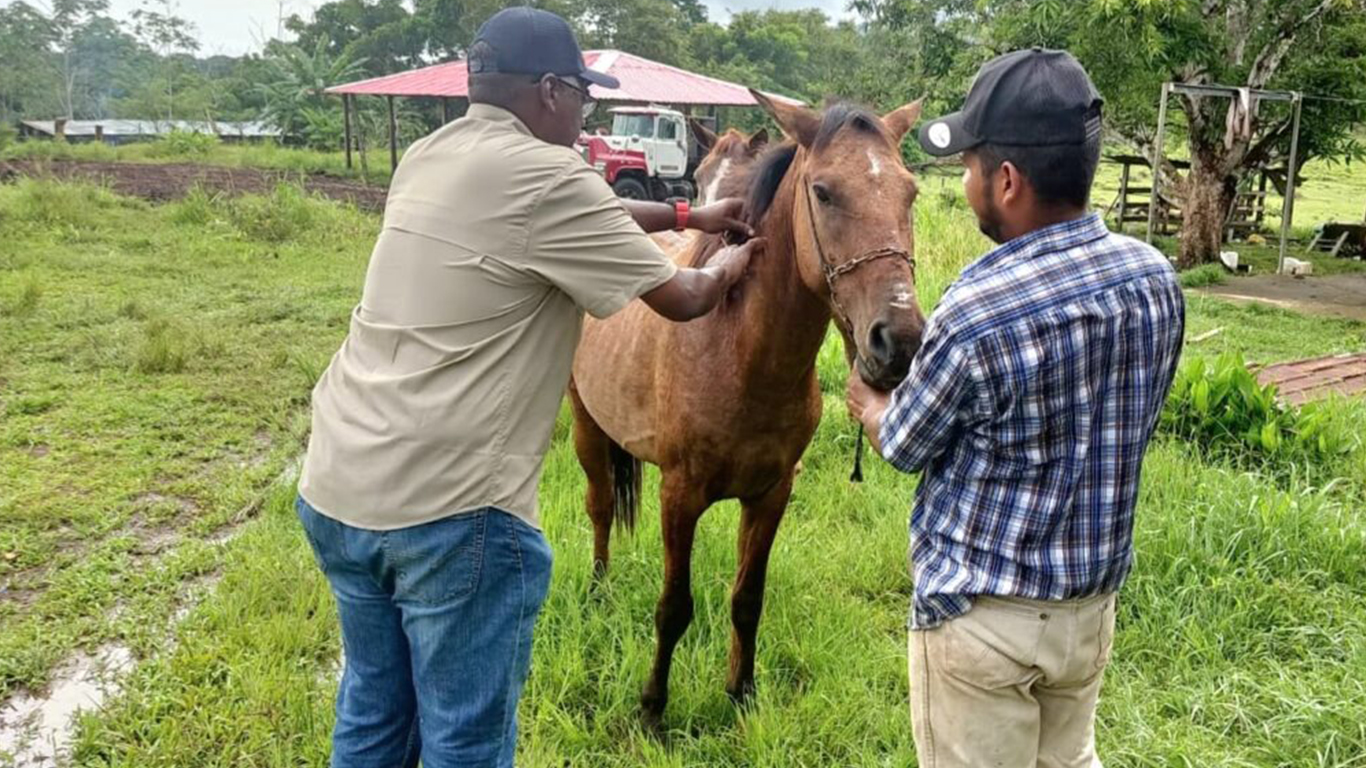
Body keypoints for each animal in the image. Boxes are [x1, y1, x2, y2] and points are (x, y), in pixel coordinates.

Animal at [565, 90, 928, 721]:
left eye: (910, 192)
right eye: (823, 192)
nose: (899, 342)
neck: (740, 355)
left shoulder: (771, 493)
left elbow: (747, 598)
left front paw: (741, 693)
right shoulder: (679, 495)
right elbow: (673, 606)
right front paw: (652, 708)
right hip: (587, 429)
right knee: (602, 508)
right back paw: (600, 589)